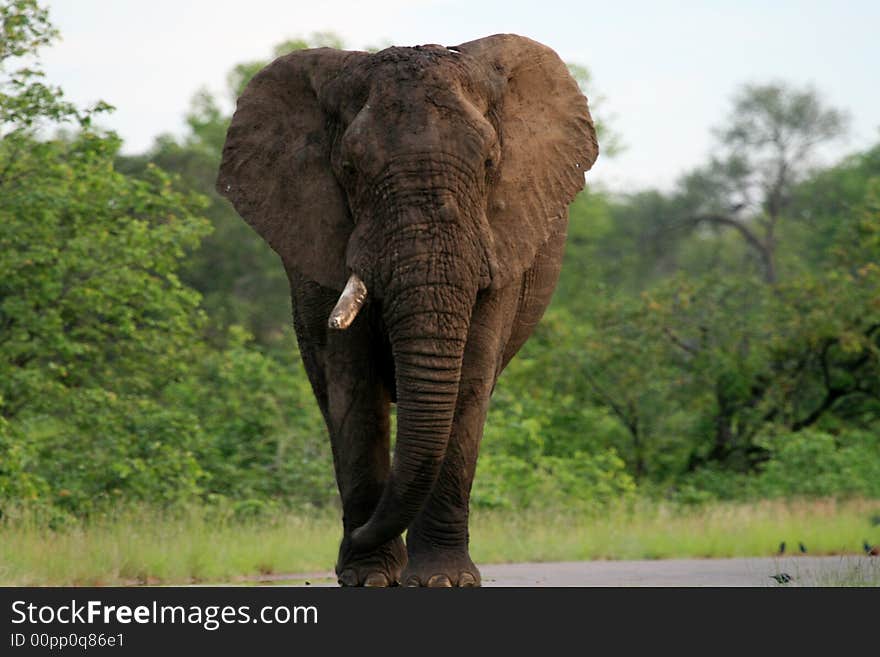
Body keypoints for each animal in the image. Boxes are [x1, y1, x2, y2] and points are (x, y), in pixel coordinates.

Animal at [216, 33, 600, 588]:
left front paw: (444, 581)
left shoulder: (502, 240)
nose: (348, 541)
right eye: (350, 170)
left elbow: (469, 379)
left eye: (490, 164)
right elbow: (353, 383)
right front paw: (367, 577)